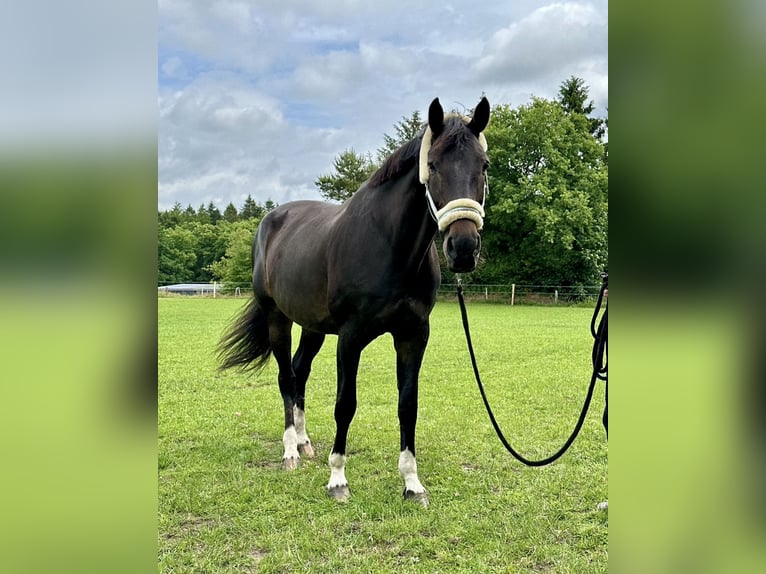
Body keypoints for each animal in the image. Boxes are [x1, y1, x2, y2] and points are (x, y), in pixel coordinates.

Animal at [217, 96, 490, 506]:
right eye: (432, 165)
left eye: (483, 166)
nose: (463, 248)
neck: (390, 246)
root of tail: (271, 220)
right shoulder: (350, 337)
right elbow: (345, 404)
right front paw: (337, 479)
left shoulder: (413, 335)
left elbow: (407, 405)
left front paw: (412, 483)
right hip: (277, 318)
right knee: (285, 376)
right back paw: (290, 451)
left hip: (312, 327)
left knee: (299, 371)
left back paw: (305, 442)